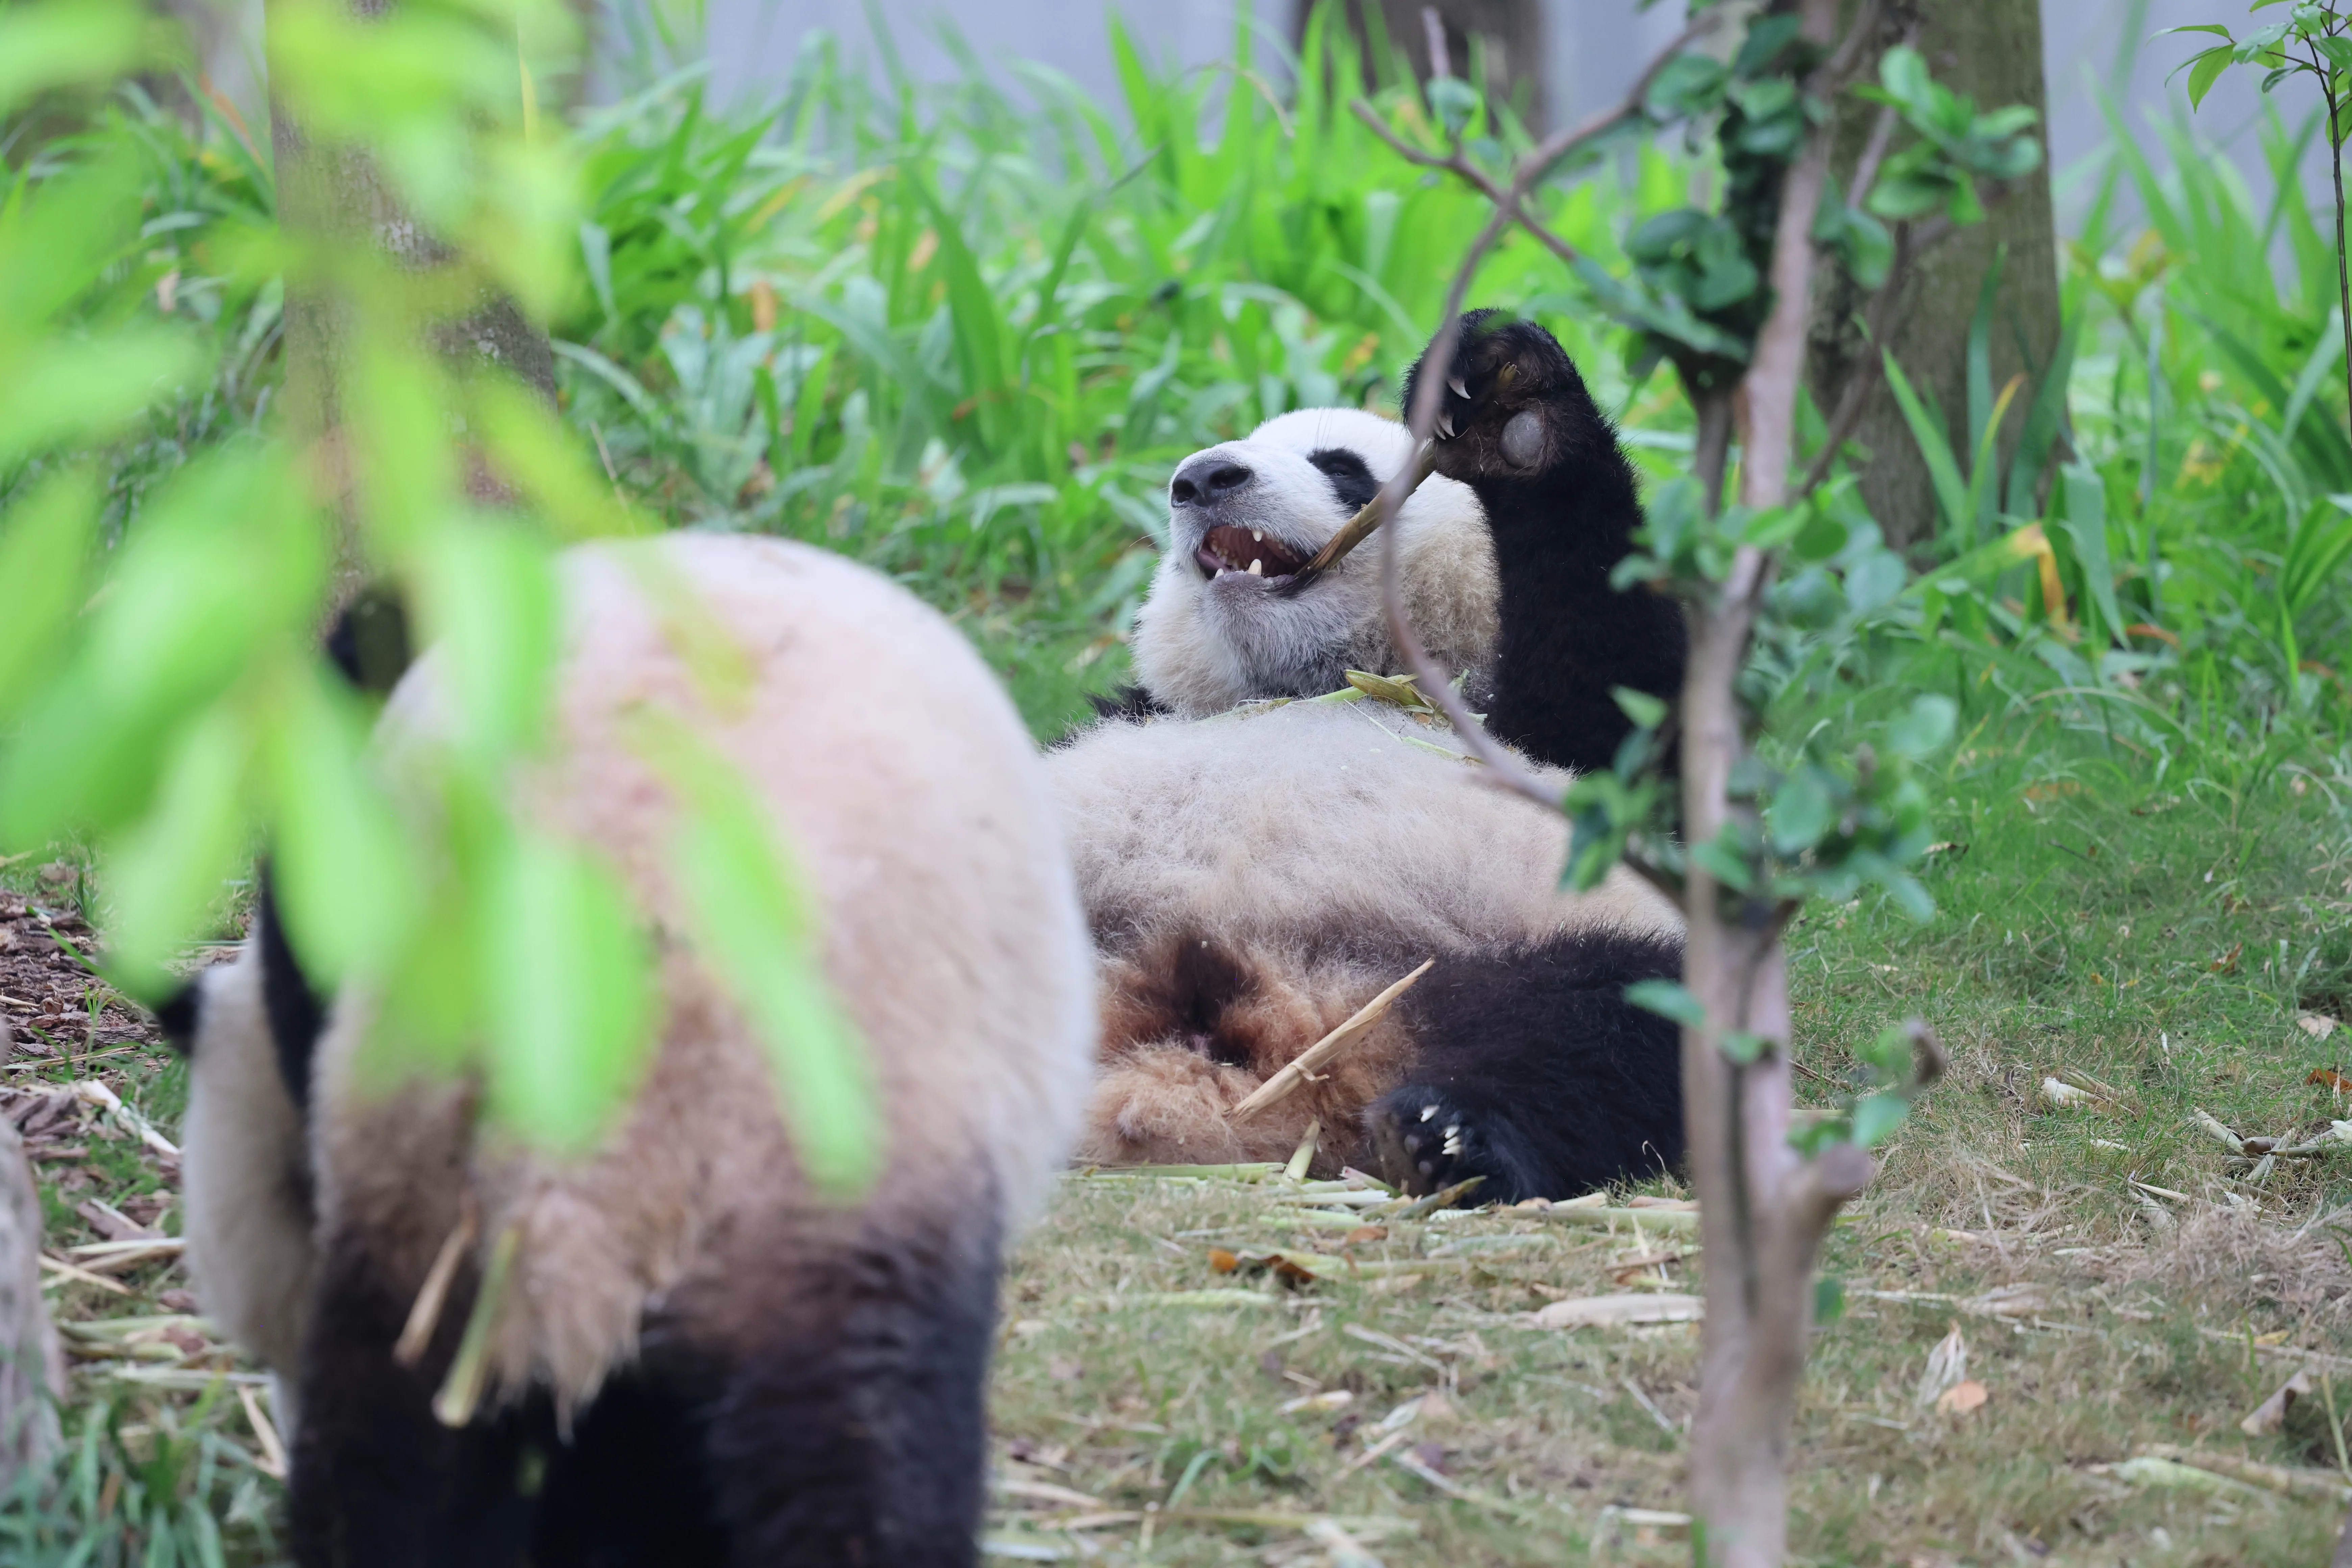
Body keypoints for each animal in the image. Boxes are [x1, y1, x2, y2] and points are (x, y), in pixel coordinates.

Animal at [1052, 312, 1689, 1202]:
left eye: (1341, 467)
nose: (1203, 479)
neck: (1324, 681)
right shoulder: (1141, 709)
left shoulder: (1558, 746)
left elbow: (1613, 683)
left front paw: (1513, 411)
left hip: (1503, 949)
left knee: (1610, 1030)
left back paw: (1450, 1137)